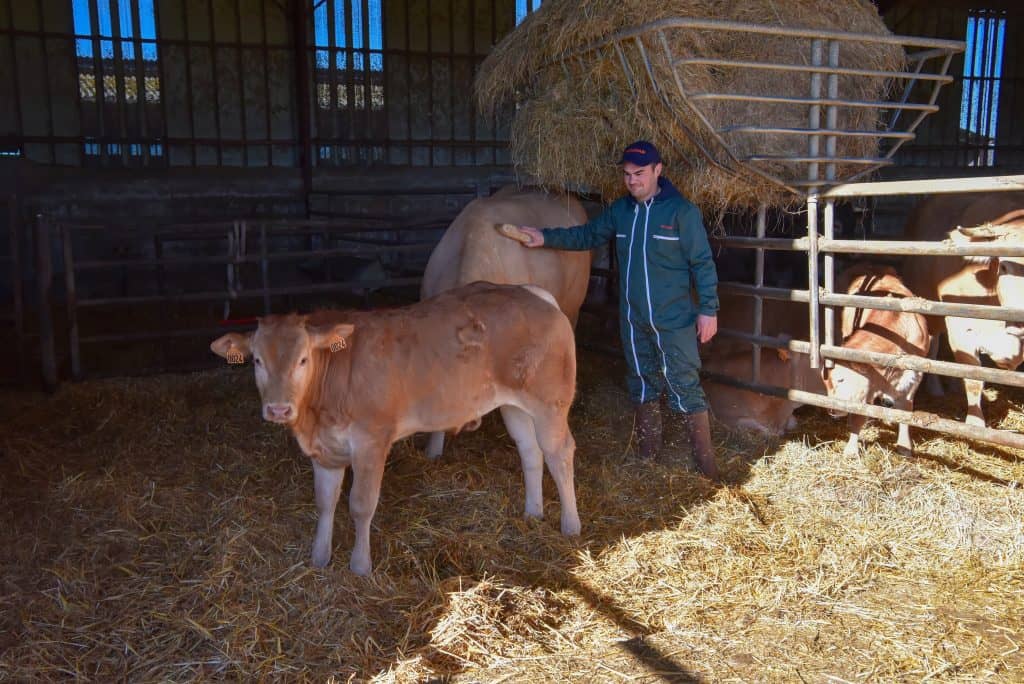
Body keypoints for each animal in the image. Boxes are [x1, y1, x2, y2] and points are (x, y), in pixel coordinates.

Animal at [209, 280, 577, 573]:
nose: (278, 408)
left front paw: (360, 566)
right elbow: (325, 501)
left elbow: (361, 504)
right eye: (258, 360)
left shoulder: (371, 441)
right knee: (530, 452)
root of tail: (531, 292)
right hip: (514, 405)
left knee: (559, 453)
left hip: (550, 403)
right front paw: (319, 557)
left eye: (302, 359)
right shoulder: (325, 449)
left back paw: (570, 525)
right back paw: (533, 512)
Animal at [819, 264, 933, 456]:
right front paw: (851, 450)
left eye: (841, 379)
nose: (832, 410)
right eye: (825, 384)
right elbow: (859, 415)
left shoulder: (914, 376)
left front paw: (904, 446)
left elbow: (905, 409)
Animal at [905, 192, 1024, 423]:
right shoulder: (961, 328)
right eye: (1005, 265)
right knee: (933, 346)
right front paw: (976, 423)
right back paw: (936, 388)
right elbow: (973, 378)